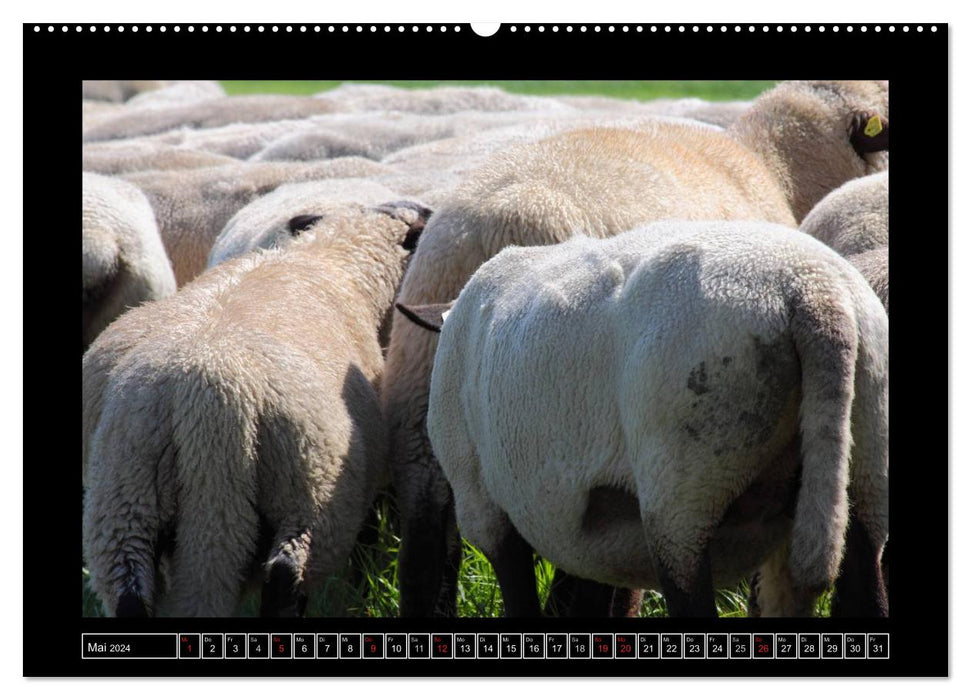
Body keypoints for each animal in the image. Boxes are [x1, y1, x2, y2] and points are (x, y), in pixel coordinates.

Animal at [81, 200, 430, 616]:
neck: (332, 255)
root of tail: (206, 399)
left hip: (123, 498)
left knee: (129, 592)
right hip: (308, 492)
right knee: (284, 574)